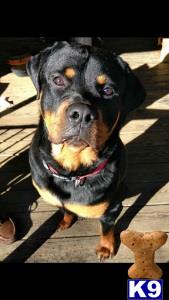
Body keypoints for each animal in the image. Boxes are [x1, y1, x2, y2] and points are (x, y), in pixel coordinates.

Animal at [26, 40, 145, 260]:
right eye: (58, 80)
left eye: (108, 90)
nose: (81, 113)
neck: (71, 172)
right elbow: (64, 208)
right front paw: (65, 220)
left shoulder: (110, 210)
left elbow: (107, 228)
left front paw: (106, 247)